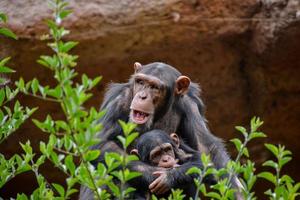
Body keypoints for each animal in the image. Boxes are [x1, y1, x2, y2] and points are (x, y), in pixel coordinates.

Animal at [79, 61, 241, 199]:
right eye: (140, 82)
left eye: (154, 87)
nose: (142, 96)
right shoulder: (119, 101)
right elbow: (99, 143)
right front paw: (158, 175)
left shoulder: (190, 105)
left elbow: (207, 150)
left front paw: (170, 177)